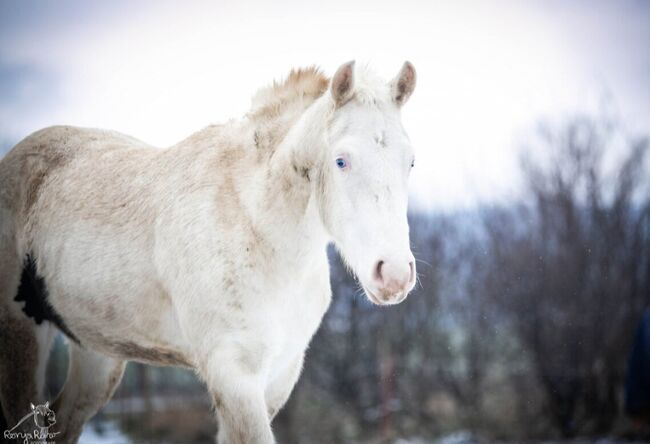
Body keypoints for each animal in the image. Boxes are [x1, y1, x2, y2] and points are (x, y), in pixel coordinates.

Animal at [0, 60, 416, 442]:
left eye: (410, 161)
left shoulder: (278, 376)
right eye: (341, 160)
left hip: (96, 351)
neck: (258, 229)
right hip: (22, 334)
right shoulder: (234, 376)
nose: (394, 274)